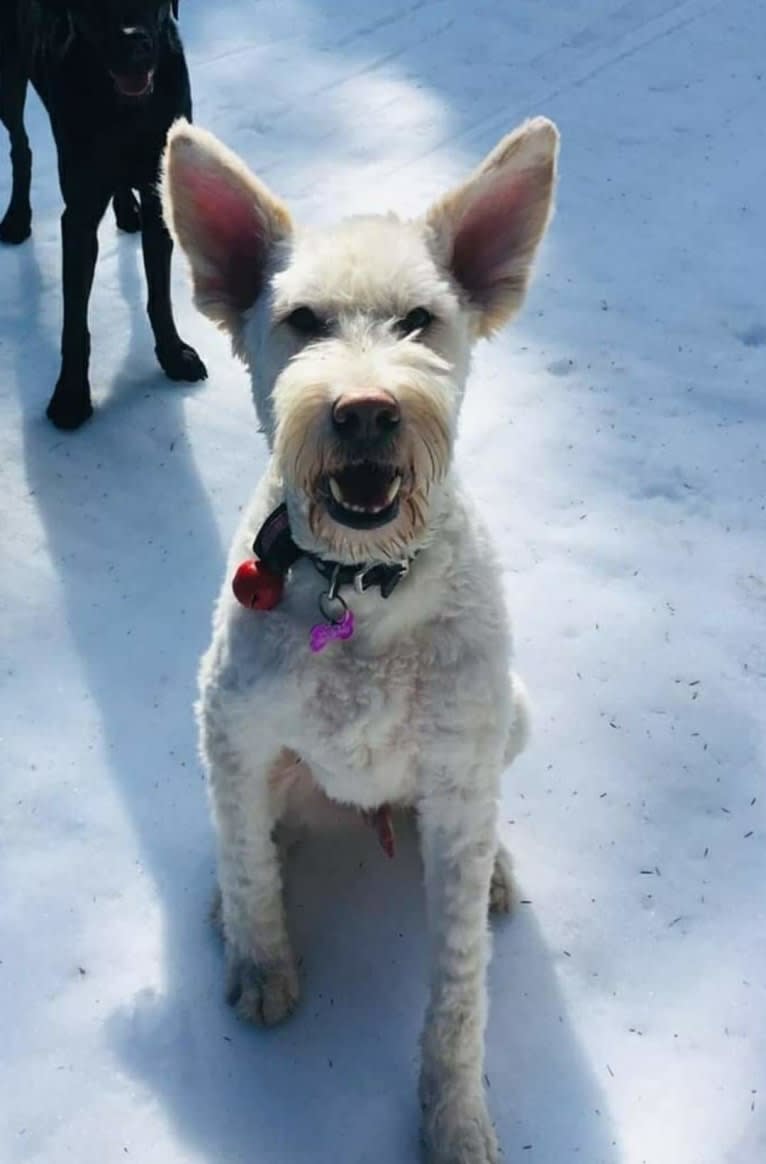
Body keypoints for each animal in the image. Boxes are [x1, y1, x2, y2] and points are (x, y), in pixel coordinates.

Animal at [0, 0, 206, 430]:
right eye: (93, 5)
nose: (133, 42)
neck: (125, 111)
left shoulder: (157, 194)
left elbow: (159, 296)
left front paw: (173, 355)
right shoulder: (78, 217)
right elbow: (75, 323)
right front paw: (71, 395)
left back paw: (126, 210)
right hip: (6, 78)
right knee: (20, 145)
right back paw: (17, 218)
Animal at [160, 111, 554, 1164]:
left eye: (419, 320)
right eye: (302, 321)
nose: (367, 411)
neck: (363, 589)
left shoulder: (459, 767)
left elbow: (458, 993)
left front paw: (454, 1118)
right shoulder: (231, 726)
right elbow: (251, 867)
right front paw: (260, 960)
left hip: (509, 720)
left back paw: (496, 868)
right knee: (248, 831)